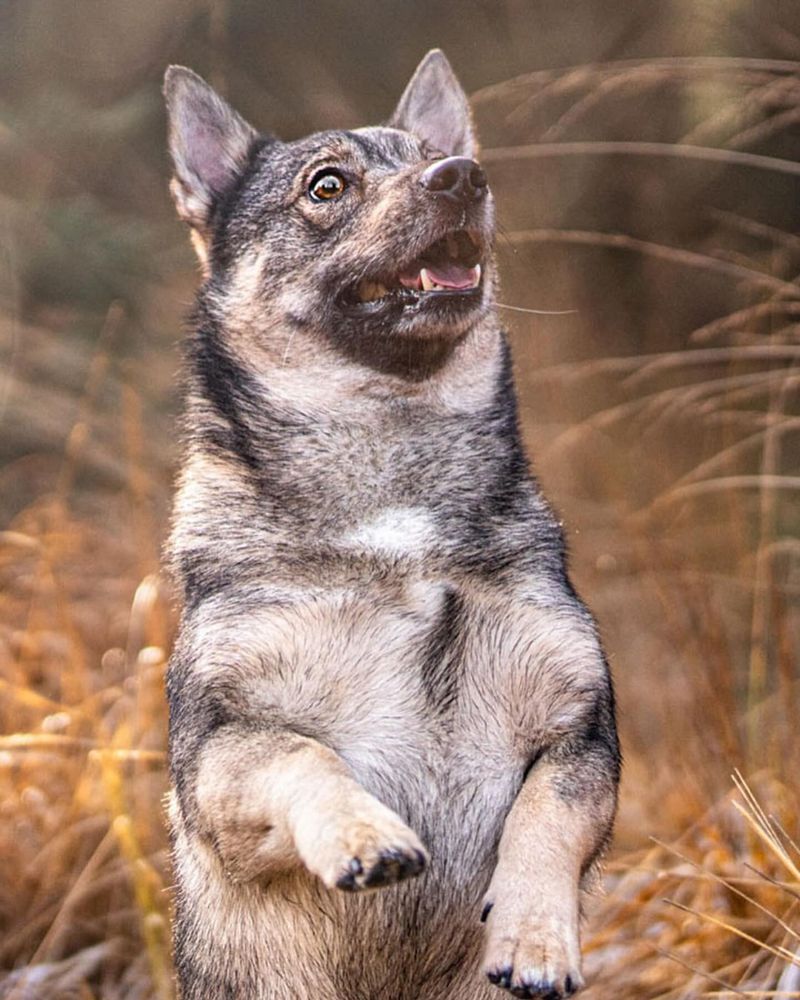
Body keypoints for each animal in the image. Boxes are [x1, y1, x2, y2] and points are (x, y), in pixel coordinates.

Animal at [164, 50, 620, 1000]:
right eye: (327, 185)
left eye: (432, 157)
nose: (463, 177)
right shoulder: (219, 752)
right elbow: (307, 758)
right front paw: (364, 834)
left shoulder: (581, 736)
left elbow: (546, 822)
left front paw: (535, 937)